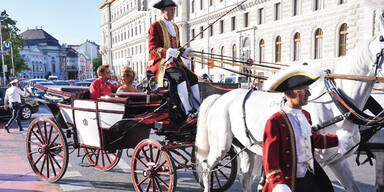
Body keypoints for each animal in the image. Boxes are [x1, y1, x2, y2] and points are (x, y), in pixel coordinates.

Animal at [195, 11, 384, 192]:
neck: (335, 106)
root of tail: (220, 97)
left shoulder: (338, 161)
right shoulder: (318, 161)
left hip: (246, 148)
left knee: (245, 179)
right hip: (221, 145)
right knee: (207, 167)